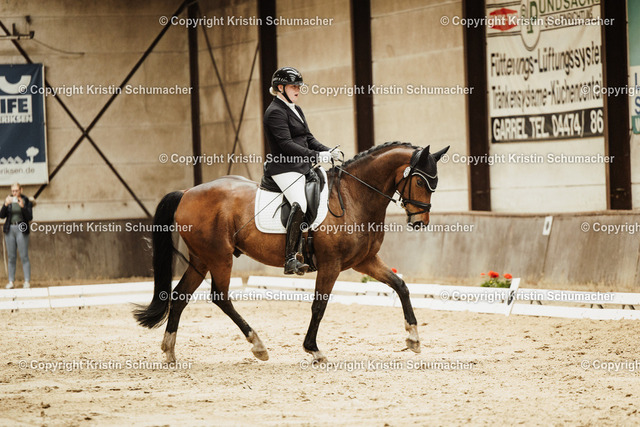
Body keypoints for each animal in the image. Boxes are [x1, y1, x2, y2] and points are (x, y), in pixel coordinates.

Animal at [134, 142, 449, 363]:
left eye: (434, 183)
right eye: (420, 181)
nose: (419, 222)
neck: (354, 197)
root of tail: (187, 192)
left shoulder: (364, 262)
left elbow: (401, 286)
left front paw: (413, 338)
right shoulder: (332, 264)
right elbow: (319, 305)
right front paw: (314, 350)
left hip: (201, 259)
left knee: (179, 296)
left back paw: (169, 351)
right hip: (219, 258)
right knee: (220, 297)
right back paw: (258, 346)